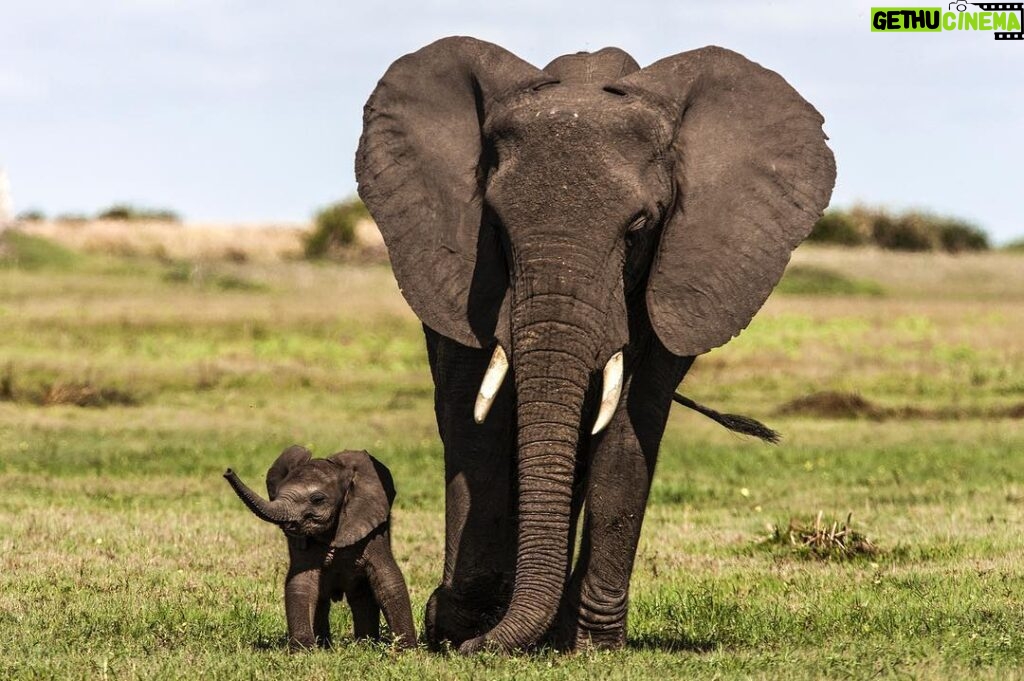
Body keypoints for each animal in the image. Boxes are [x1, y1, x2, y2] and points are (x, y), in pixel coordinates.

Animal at [225, 446, 415, 647]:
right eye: (276, 493)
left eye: (317, 499)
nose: (228, 470)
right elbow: (301, 582)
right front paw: (304, 649)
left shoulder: (372, 527)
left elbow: (388, 580)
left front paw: (406, 649)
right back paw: (328, 646)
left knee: (362, 597)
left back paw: (364, 645)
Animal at [356, 38, 835, 655]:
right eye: (498, 226)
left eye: (638, 228)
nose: (471, 646)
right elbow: (477, 421)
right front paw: (463, 628)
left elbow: (631, 427)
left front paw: (591, 645)